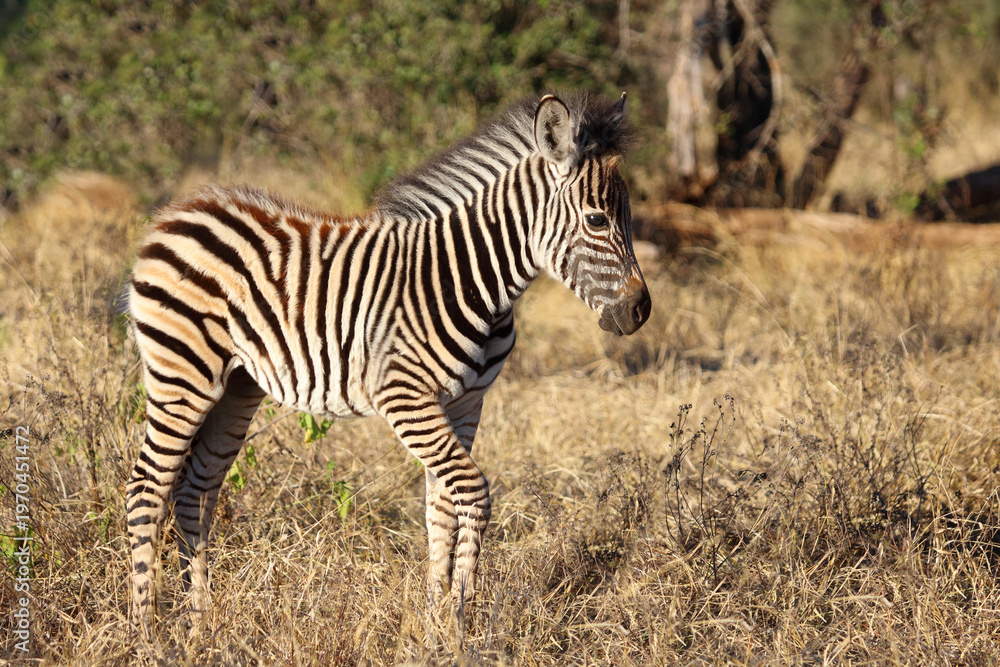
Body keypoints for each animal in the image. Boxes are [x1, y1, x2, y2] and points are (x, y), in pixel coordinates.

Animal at [125, 91, 651, 630]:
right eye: (596, 220)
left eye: (628, 217)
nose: (640, 310)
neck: (468, 278)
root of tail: (179, 210)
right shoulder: (404, 396)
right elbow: (473, 493)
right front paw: (460, 621)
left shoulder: (466, 403)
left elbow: (441, 507)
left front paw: (434, 620)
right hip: (182, 375)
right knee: (147, 488)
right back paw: (148, 629)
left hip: (235, 387)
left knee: (194, 491)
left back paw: (200, 622)